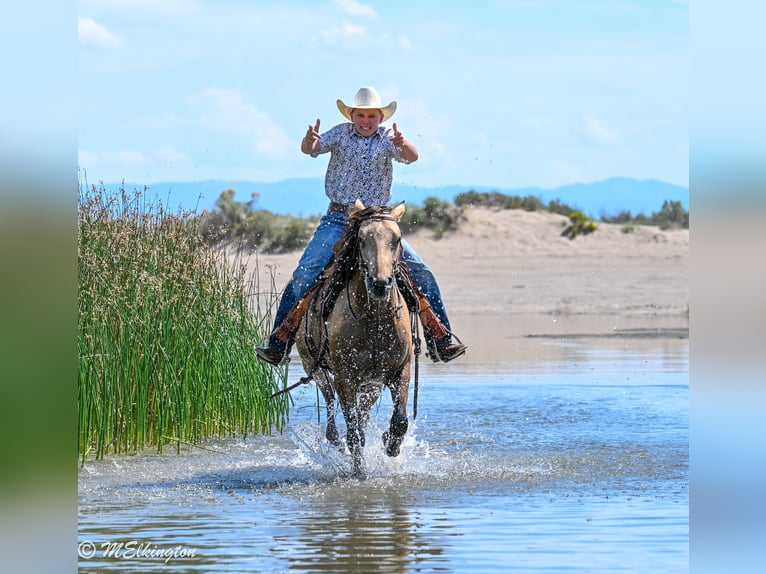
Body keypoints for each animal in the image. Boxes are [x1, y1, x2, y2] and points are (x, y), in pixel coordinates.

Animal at [295, 200, 413, 479]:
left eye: (397, 239)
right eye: (361, 239)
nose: (380, 284)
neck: (375, 322)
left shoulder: (400, 369)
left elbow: (399, 420)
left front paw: (391, 445)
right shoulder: (345, 377)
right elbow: (353, 434)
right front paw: (359, 473)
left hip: (371, 385)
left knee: (362, 414)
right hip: (315, 369)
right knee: (330, 405)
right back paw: (334, 440)